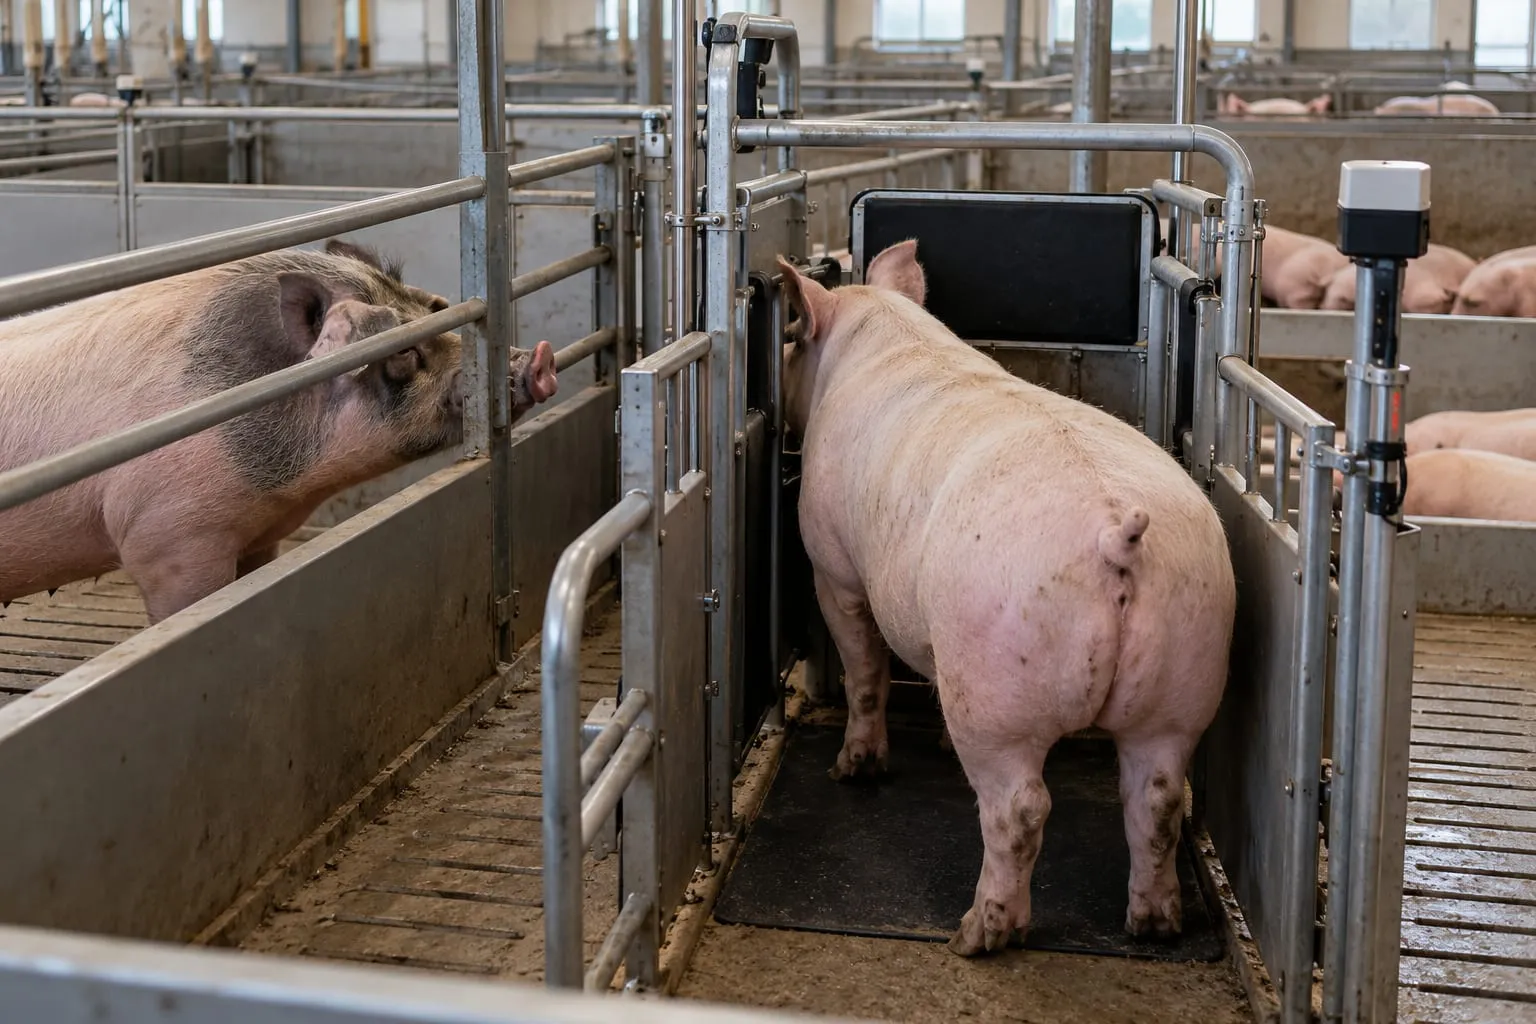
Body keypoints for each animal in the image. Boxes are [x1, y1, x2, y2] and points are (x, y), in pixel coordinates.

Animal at [779, 240, 1236, 955]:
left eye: (794, 336)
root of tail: (1116, 533)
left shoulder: (835, 568)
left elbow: (865, 671)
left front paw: (852, 769)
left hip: (996, 684)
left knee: (1020, 807)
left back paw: (978, 935)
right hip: (1188, 672)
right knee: (1158, 799)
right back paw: (1154, 926)